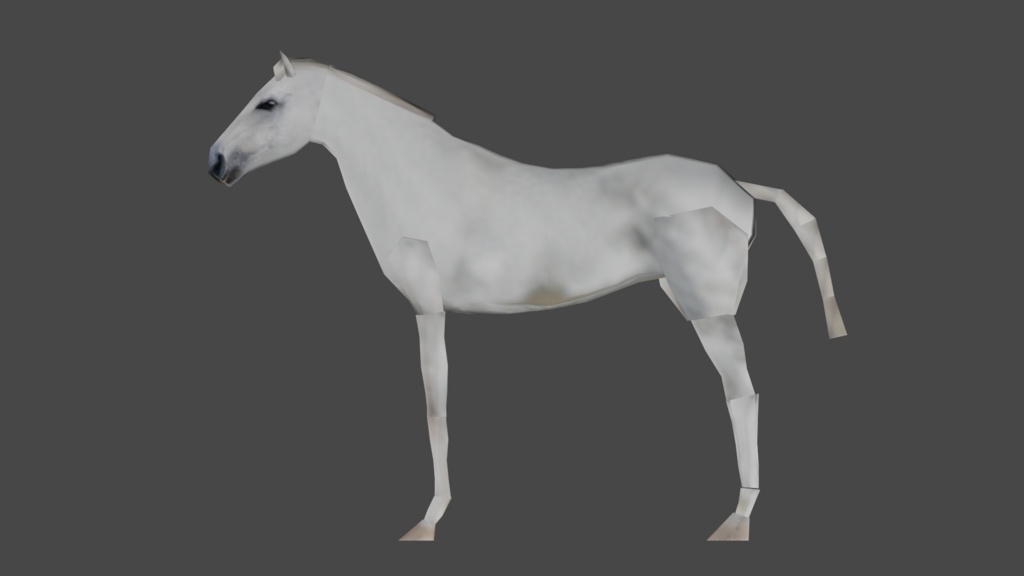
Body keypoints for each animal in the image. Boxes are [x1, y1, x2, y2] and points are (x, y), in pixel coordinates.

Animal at [207, 52, 846, 541]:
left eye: (268, 103)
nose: (214, 161)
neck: (418, 181)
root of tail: (738, 188)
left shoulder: (428, 311)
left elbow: (436, 412)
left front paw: (429, 522)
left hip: (711, 314)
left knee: (743, 396)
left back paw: (738, 520)